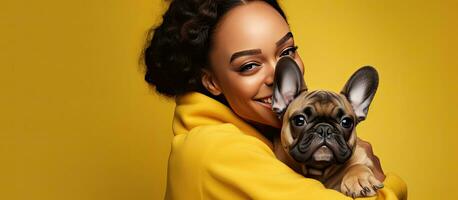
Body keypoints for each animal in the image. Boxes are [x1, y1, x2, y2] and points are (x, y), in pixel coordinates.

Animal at [272, 55, 382, 197]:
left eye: (346, 122)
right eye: (299, 120)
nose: (324, 129)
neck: (319, 172)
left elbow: (357, 165)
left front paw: (359, 178)